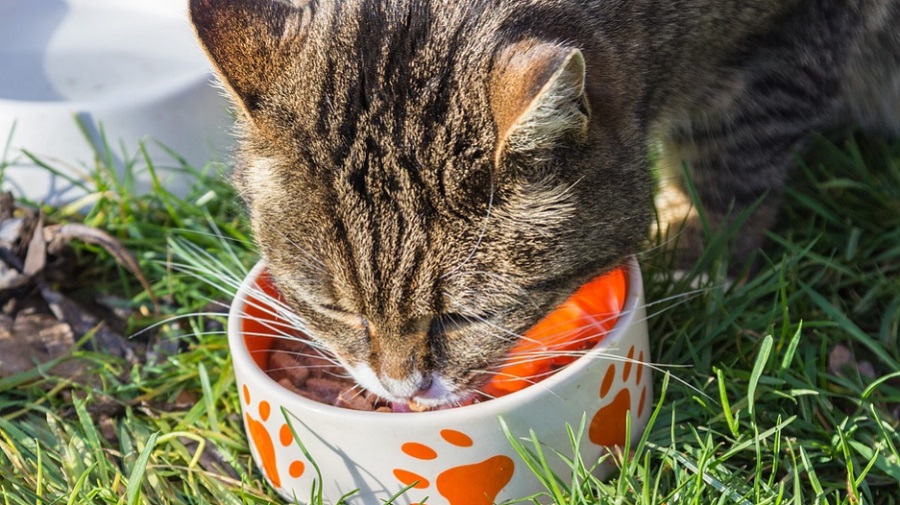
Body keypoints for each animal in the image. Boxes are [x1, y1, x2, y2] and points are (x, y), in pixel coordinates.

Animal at [190, 0, 900, 406]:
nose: (401, 388)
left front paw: (697, 260)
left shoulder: (787, 44)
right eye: (334, 308)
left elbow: (731, 161)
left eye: (468, 317)